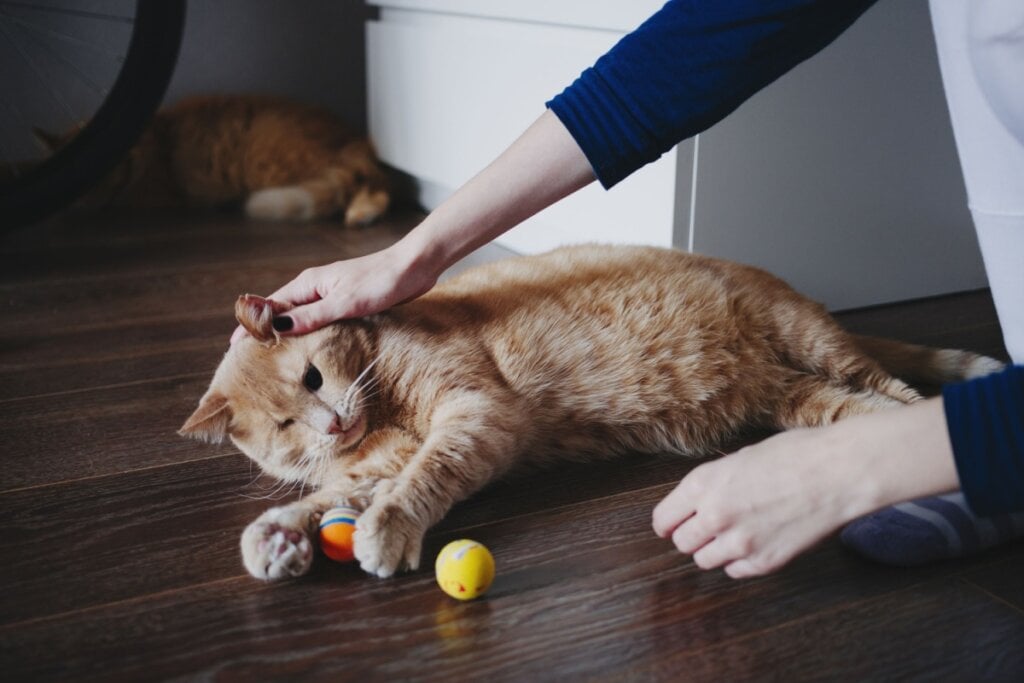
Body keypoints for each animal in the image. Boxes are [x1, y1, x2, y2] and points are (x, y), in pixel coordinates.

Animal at [36, 94, 387, 227]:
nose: (80, 197)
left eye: (93, 175)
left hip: (268, 166)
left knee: (373, 186)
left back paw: (360, 213)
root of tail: (353, 136)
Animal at [180, 242, 1003, 581]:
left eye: (314, 377)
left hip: (813, 341)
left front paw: (386, 527)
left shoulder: (475, 414)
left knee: (902, 395)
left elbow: (421, 478)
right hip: (805, 401)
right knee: (866, 411)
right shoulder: (376, 459)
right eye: (285, 429)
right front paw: (277, 536)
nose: (330, 425)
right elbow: (329, 494)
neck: (377, 413)